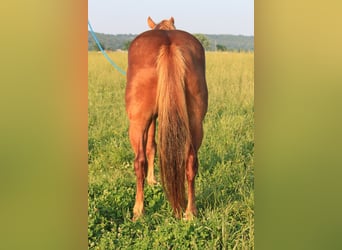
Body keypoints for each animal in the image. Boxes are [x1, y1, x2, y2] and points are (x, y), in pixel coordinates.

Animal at [124, 16, 207, 221]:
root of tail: (169, 44)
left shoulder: (151, 119)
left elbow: (151, 147)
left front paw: (152, 180)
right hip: (195, 122)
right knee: (191, 161)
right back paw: (190, 212)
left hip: (137, 123)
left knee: (139, 161)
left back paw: (138, 210)